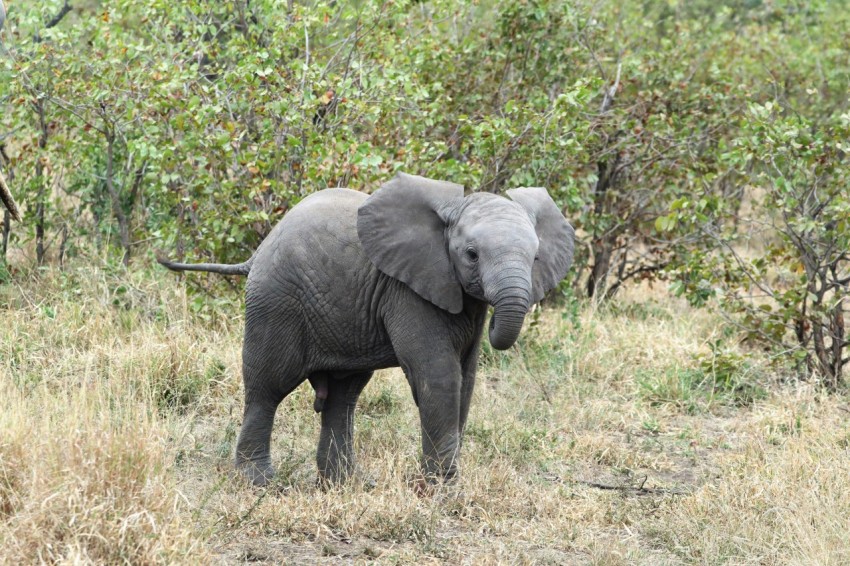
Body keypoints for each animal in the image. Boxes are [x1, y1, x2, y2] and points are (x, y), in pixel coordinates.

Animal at [159, 173, 572, 488]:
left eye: (536, 258)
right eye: (471, 255)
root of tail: (258, 251)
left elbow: (466, 381)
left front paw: (443, 484)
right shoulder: (406, 290)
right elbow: (439, 376)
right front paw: (442, 491)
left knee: (343, 396)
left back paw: (346, 484)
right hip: (275, 301)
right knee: (268, 387)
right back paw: (260, 482)